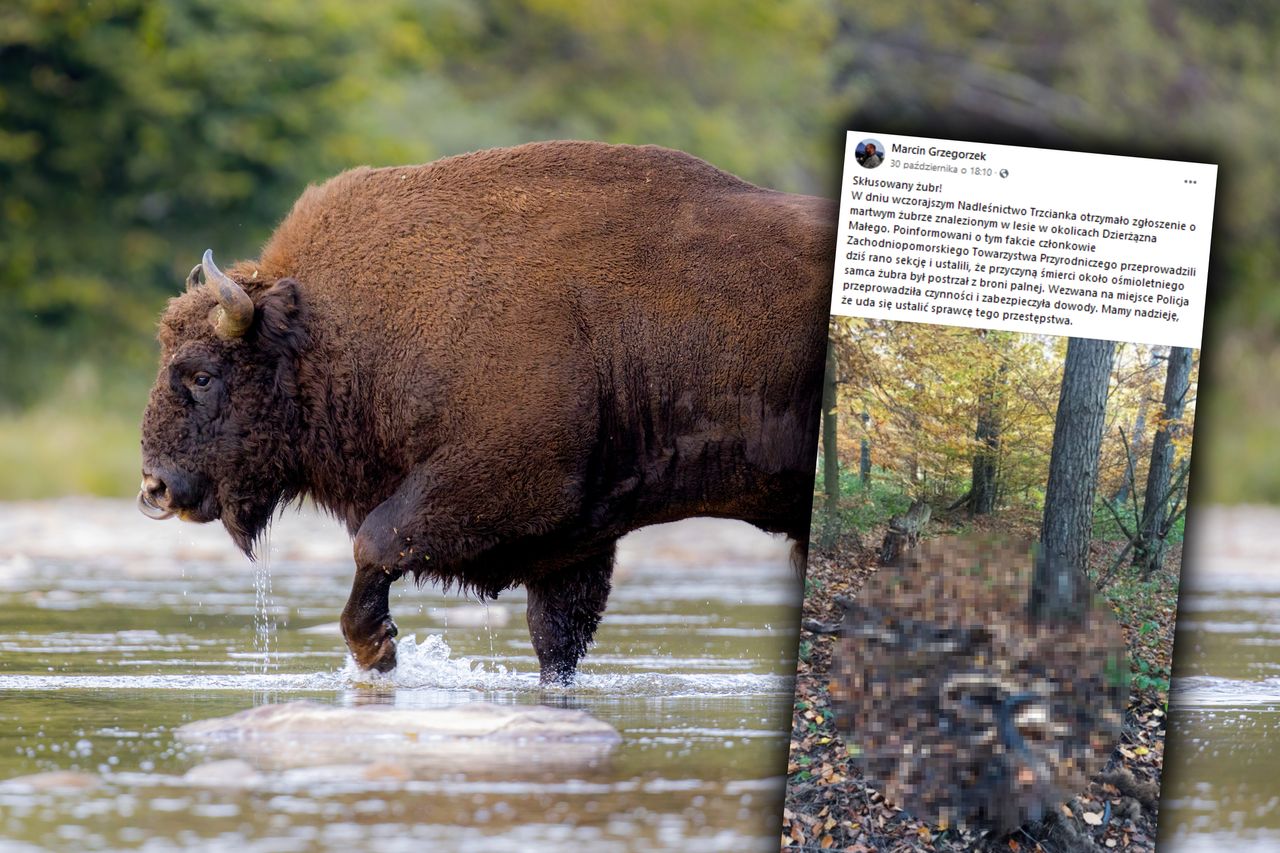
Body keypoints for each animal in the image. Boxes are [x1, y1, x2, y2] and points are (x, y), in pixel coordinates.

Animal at [140, 140, 834, 686]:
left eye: (201, 374)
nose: (155, 488)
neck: (333, 332)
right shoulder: (576, 539)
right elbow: (556, 642)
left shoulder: (502, 482)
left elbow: (377, 540)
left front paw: (378, 650)